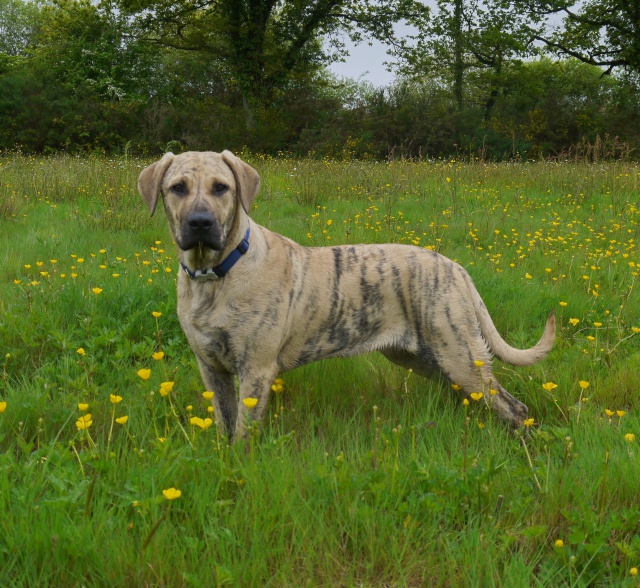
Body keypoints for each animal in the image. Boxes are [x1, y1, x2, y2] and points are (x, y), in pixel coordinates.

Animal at [139, 152, 556, 440]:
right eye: (178, 188)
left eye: (221, 188)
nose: (200, 223)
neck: (214, 276)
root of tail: (456, 268)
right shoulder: (212, 370)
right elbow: (225, 428)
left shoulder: (255, 371)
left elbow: (243, 433)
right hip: (425, 357)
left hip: (459, 353)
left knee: (513, 406)